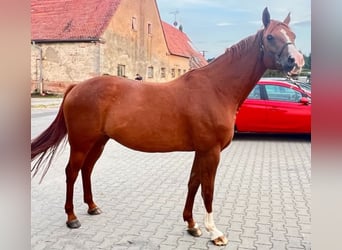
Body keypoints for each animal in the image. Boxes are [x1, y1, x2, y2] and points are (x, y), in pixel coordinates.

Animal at [32, 8, 304, 246]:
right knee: (71, 172)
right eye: (270, 37)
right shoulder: (211, 151)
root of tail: (76, 87)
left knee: (86, 170)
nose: (297, 61)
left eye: (292, 35)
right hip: (81, 142)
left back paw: (92, 207)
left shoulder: (201, 151)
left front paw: (192, 225)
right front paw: (215, 232)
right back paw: (72, 218)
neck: (216, 88)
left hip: (99, 141)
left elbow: (193, 183)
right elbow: (208, 190)